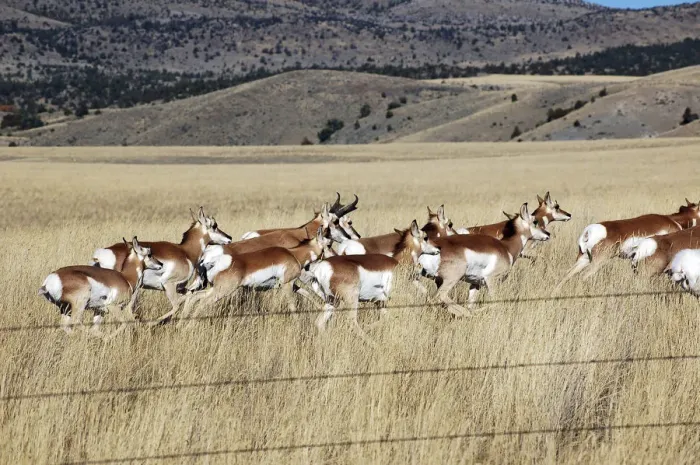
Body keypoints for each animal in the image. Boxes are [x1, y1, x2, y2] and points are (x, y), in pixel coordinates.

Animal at [90, 207, 233, 324]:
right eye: (214, 225)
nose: (229, 238)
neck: (186, 252)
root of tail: (101, 254)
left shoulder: (180, 287)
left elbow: (188, 296)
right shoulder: (169, 285)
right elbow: (176, 305)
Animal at [178, 228, 331, 326]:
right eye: (329, 244)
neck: (293, 254)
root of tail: (211, 261)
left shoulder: (289, 285)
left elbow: (307, 293)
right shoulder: (287, 285)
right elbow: (293, 305)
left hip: (215, 289)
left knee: (194, 297)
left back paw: (181, 324)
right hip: (222, 291)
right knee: (202, 302)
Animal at [420, 203, 549, 316]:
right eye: (535, 221)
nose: (548, 234)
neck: (506, 247)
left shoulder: (475, 284)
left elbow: (471, 303)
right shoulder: (492, 280)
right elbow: (495, 303)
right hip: (451, 279)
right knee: (438, 297)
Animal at [556, 200, 700, 289]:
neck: (673, 221)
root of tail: (589, 231)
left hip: (583, 259)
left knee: (566, 275)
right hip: (598, 262)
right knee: (583, 276)